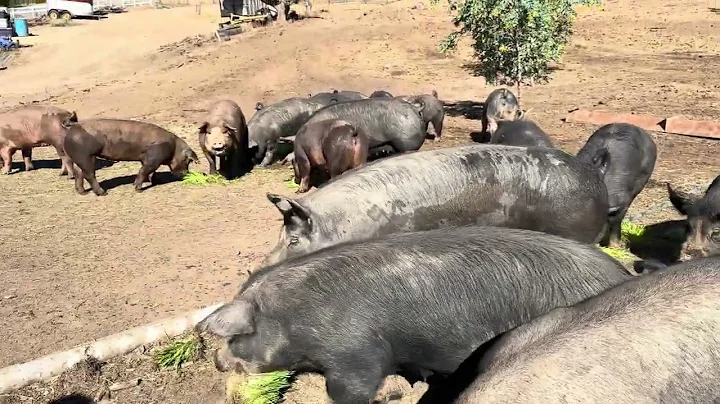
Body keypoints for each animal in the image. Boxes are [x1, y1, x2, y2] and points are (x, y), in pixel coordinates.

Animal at [61, 118, 199, 196]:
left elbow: (149, 172)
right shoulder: (153, 159)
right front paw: (138, 189)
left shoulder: (149, 160)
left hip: (77, 158)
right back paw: (103, 193)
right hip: (87, 156)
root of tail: (71, 130)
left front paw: (154, 181)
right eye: (187, 161)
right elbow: (144, 171)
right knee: (89, 174)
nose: (187, 174)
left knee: (78, 173)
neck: (174, 148)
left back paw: (83, 193)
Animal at [197, 225, 633, 404]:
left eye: (236, 336)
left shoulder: (355, 355)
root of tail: (620, 274)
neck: (295, 317)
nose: (217, 360)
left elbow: (348, 391)